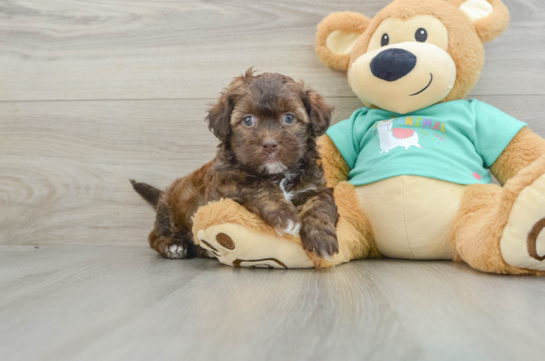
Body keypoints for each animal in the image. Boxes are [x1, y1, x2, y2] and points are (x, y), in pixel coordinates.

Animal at [131, 69, 336, 258]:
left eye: (289, 117)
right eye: (248, 120)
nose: (269, 144)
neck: (277, 174)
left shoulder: (314, 187)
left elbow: (319, 204)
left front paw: (321, 237)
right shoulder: (229, 186)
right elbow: (260, 187)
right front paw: (285, 216)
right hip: (169, 215)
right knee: (154, 237)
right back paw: (172, 246)